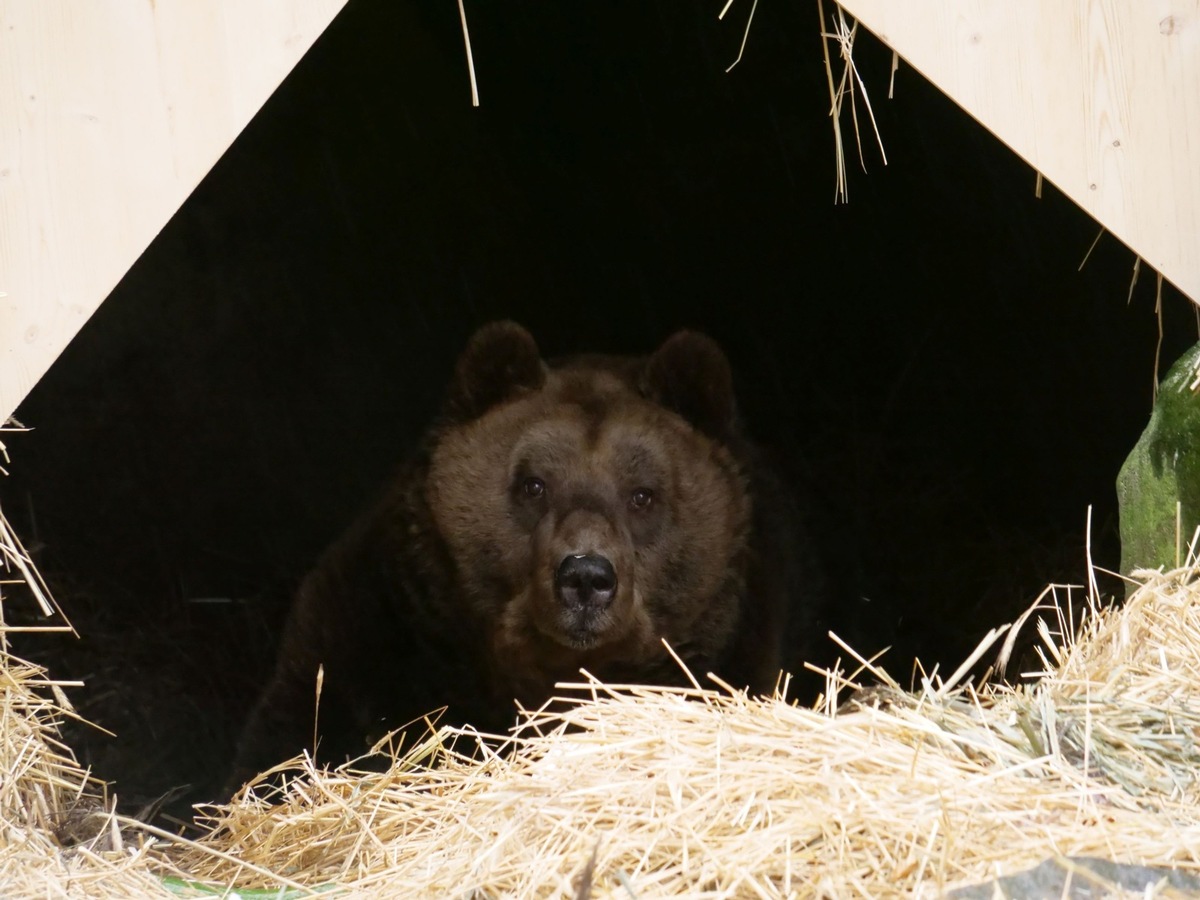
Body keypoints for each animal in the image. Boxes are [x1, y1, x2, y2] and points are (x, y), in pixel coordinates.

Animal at [226, 324, 825, 787]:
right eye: (534, 485)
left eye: (643, 494)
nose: (586, 577)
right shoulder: (379, 626)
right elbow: (293, 738)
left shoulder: (731, 647)